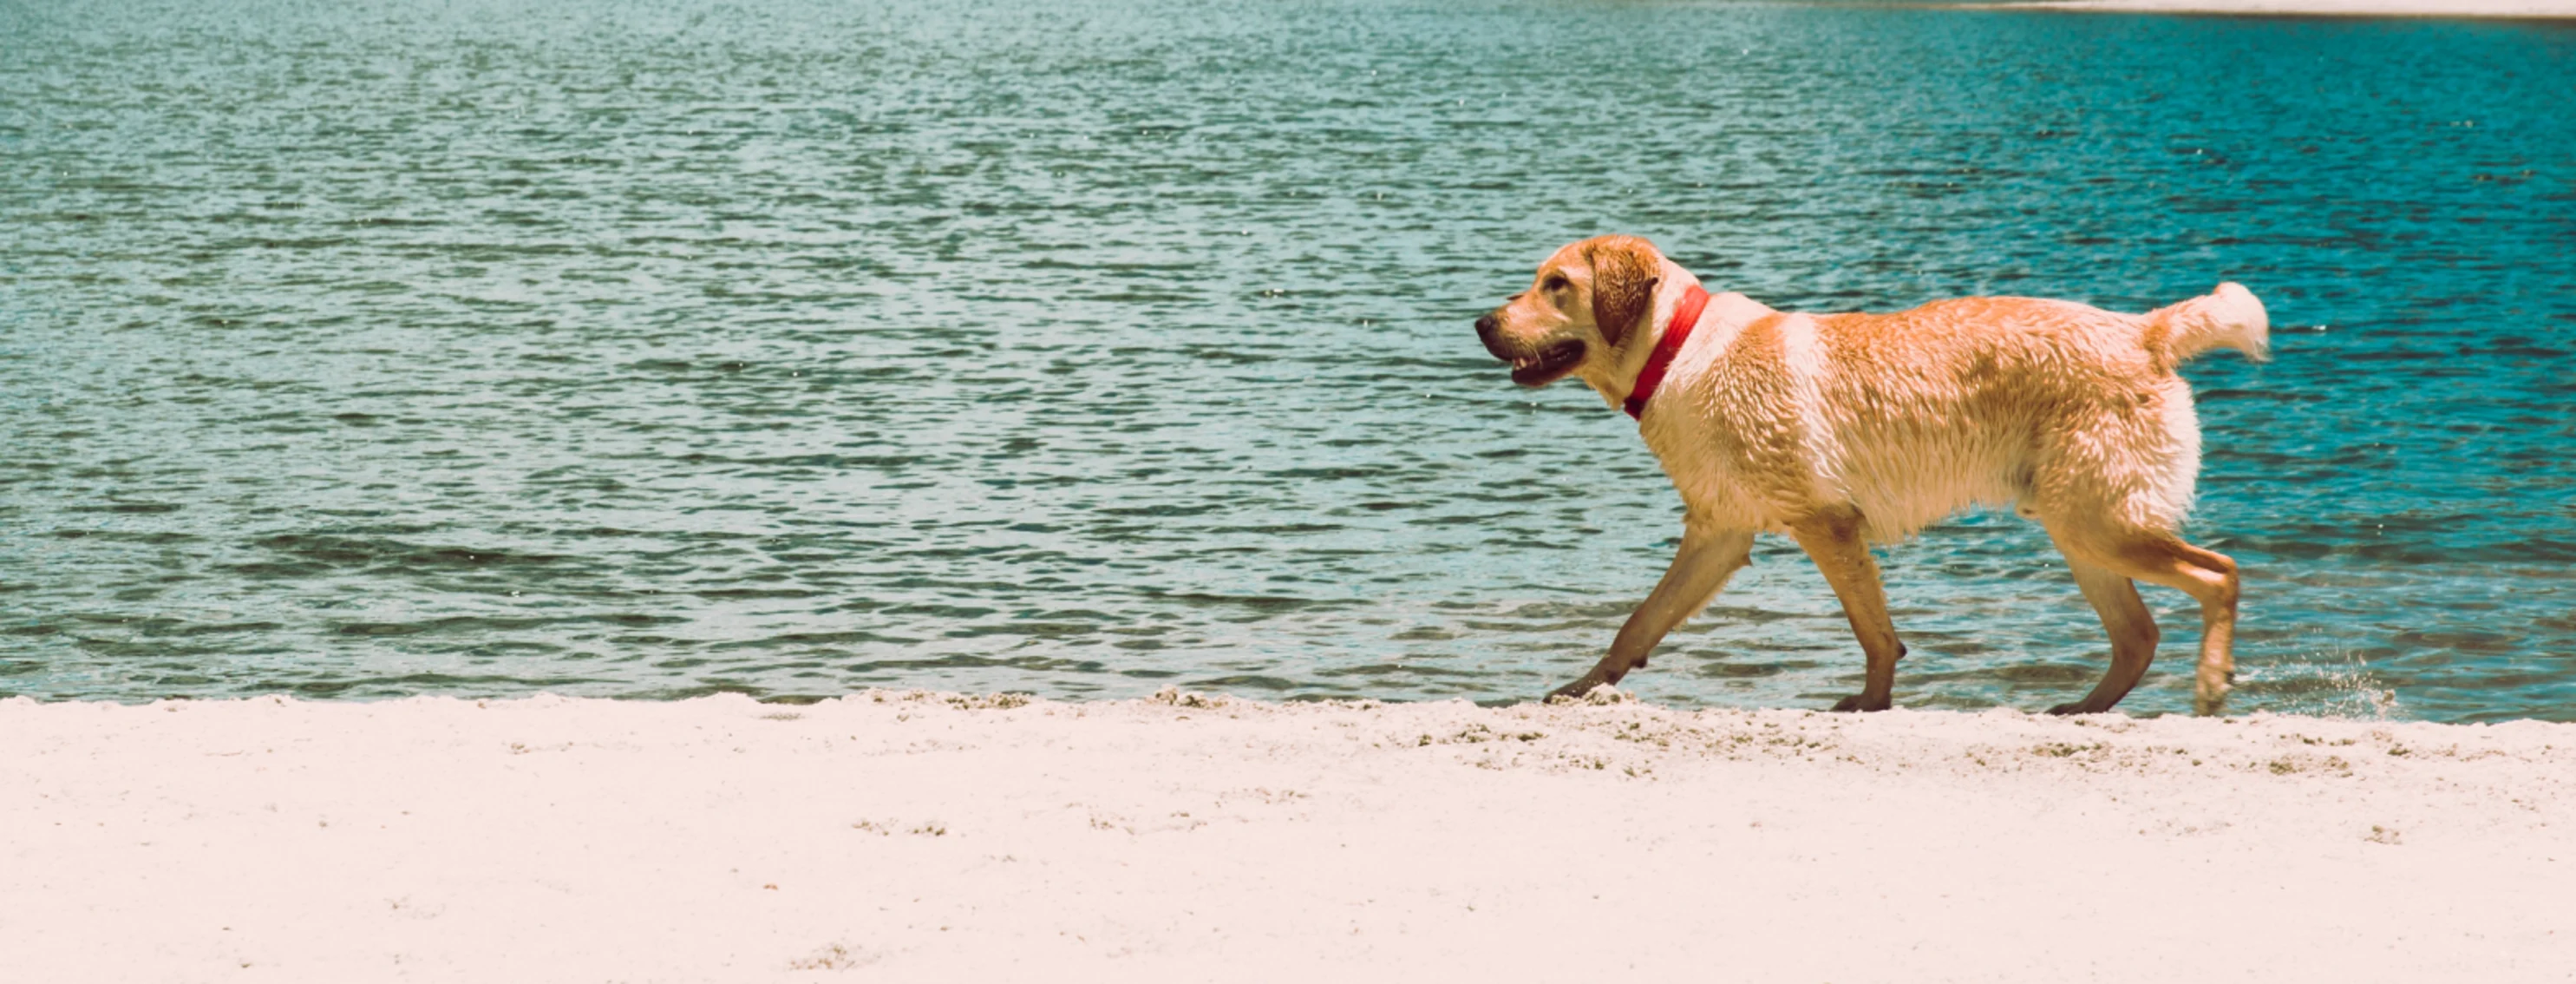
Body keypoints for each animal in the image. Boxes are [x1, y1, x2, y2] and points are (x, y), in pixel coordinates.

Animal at [1483, 237, 2266, 716]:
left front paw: (1870, 703)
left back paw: (2209, 683)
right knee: (2138, 635)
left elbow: (1874, 633)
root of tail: (2144, 329)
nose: (1480, 323)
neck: (1676, 351)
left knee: (2221, 573)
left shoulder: (1826, 524)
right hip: (2081, 529)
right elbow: (1637, 624)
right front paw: (1582, 688)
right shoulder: (1717, 535)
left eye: (1557, 285)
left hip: (2098, 522)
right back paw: (2082, 709)